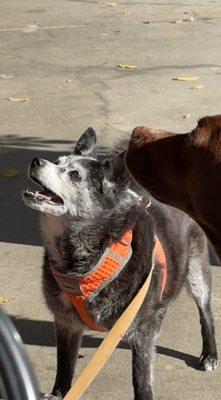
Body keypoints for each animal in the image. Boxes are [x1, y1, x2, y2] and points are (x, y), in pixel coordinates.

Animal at [22, 128, 218, 400]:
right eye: (58, 162)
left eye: (74, 175)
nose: (36, 161)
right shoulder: (66, 323)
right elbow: (65, 365)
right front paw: (59, 393)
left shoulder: (142, 332)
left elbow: (141, 378)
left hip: (197, 269)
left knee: (205, 312)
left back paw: (209, 354)